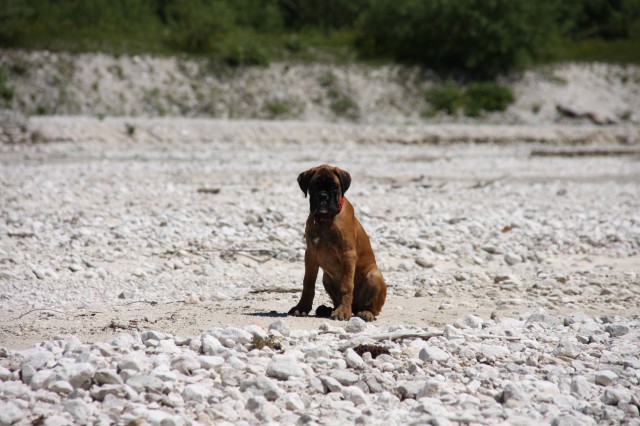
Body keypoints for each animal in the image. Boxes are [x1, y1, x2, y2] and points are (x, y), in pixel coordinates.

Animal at [288, 165, 388, 322]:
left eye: (334, 187)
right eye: (314, 186)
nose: (323, 196)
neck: (324, 220)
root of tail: (356, 308)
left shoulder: (347, 254)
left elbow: (346, 285)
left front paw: (343, 311)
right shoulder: (310, 254)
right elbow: (308, 283)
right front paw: (302, 308)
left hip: (374, 276)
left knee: (373, 309)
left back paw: (365, 313)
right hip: (326, 278)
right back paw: (327, 309)